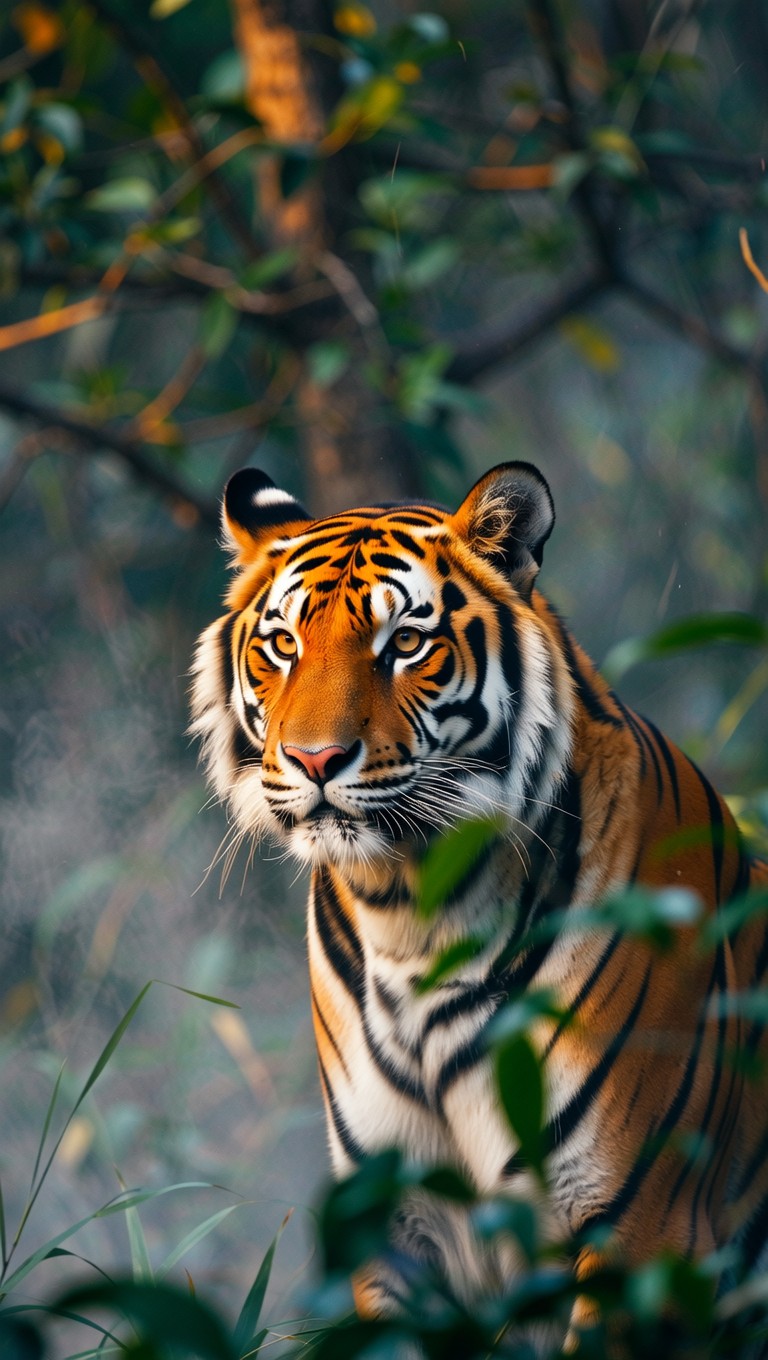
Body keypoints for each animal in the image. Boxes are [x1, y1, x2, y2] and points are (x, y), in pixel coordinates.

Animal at [190, 460, 768, 1345]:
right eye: (283, 645)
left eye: (405, 643)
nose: (315, 759)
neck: (411, 910)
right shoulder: (395, 1227)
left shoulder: (644, 1230)